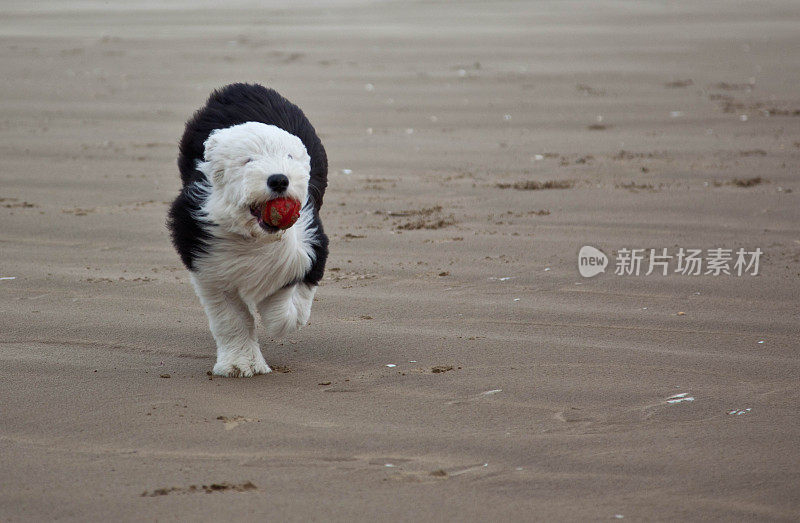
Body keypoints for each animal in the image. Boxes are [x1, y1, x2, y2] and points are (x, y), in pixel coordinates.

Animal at [169, 83, 328, 376]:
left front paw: (271, 308)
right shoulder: (209, 264)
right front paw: (240, 363)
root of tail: (240, 87)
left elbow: (291, 308)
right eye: (247, 160)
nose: (279, 179)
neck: (256, 238)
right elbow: (231, 319)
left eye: (288, 157)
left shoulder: (311, 247)